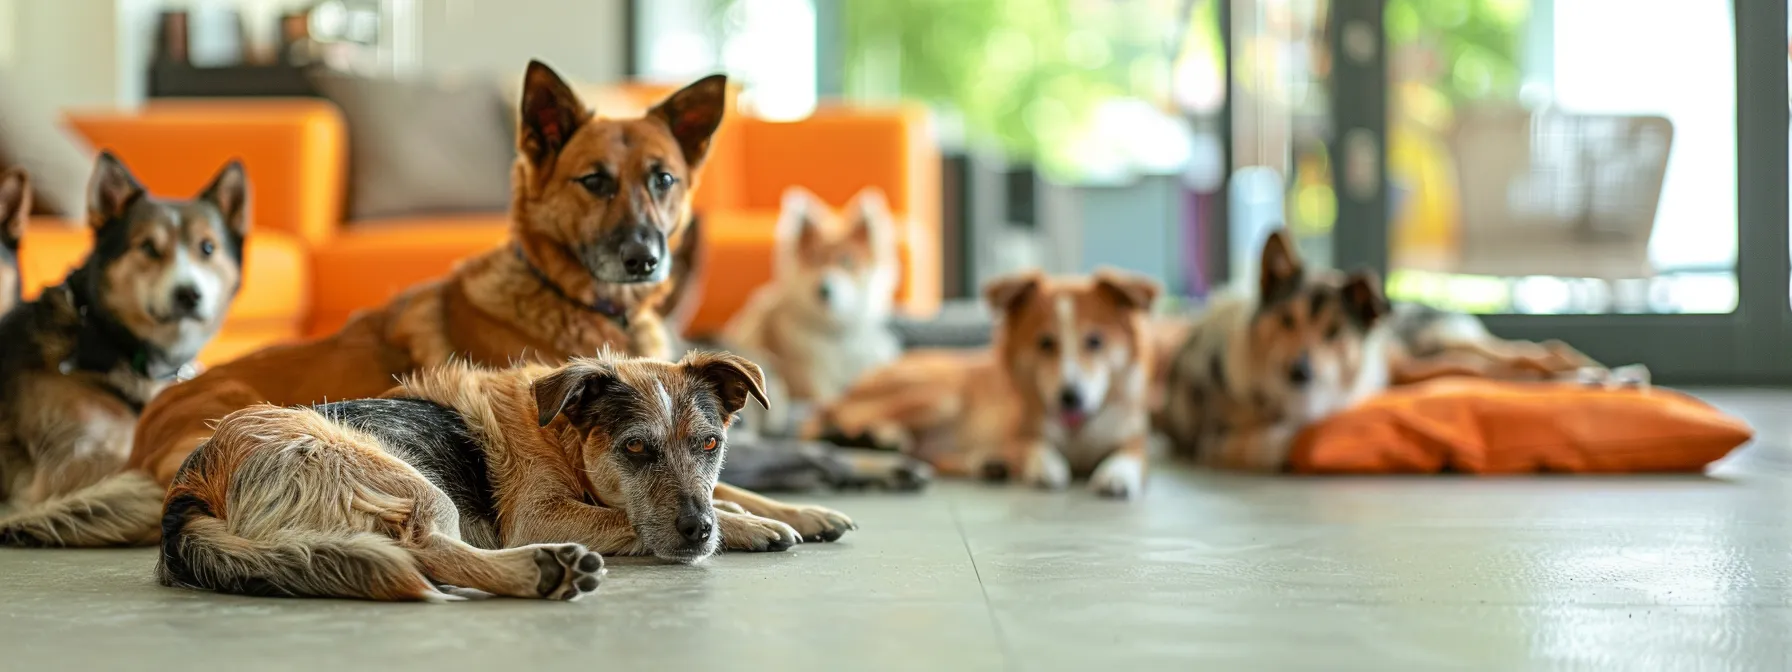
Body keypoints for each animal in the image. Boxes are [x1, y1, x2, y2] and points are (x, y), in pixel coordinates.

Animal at [157, 353, 856, 605]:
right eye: (635, 448)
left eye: (710, 443)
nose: (697, 530)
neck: (562, 435)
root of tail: (191, 485)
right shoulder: (541, 513)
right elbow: (632, 517)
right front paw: (750, 527)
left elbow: (733, 490)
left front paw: (800, 511)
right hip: (411, 481)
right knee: (427, 550)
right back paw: (541, 572)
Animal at [813, 270, 1161, 501]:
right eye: (1045, 343)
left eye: (1095, 341)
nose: (1070, 397)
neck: (1078, 432)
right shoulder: (1017, 433)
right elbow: (1033, 445)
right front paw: (1045, 466)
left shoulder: (1135, 441)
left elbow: (1128, 456)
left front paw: (1116, 475)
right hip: (942, 394)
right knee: (842, 420)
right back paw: (880, 437)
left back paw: (987, 465)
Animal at [1154, 229, 1605, 469]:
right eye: (1286, 321)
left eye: (1334, 332)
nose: (1300, 371)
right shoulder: (1215, 442)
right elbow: (1287, 439)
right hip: (1420, 362)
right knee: (1488, 366)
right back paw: (1583, 376)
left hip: (1425, 347)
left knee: (1516, 353)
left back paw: (1586, 370)